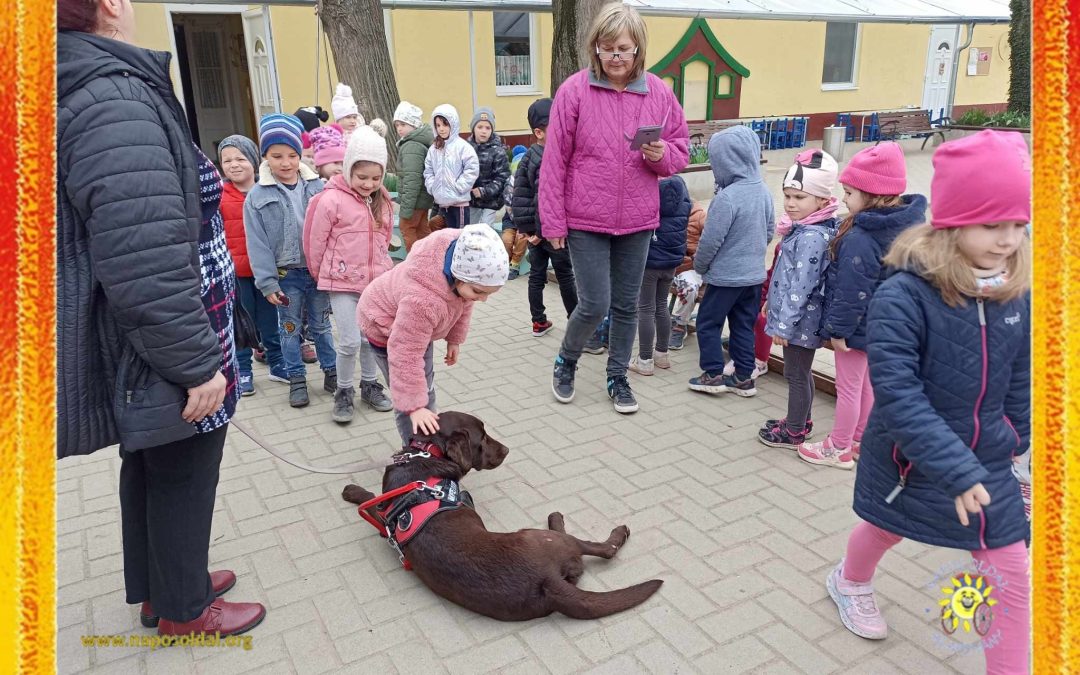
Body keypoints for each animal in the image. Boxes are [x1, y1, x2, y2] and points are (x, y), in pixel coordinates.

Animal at [339, 408, 656, 617]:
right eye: (482, 438)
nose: (507, 449)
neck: (426, 453)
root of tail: (547, 581)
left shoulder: (386, 516)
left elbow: (372, 499)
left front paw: (351, 490)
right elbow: (372, 500)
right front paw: (354, 491)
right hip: (537, 536)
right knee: (602, 548)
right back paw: (571, 521)